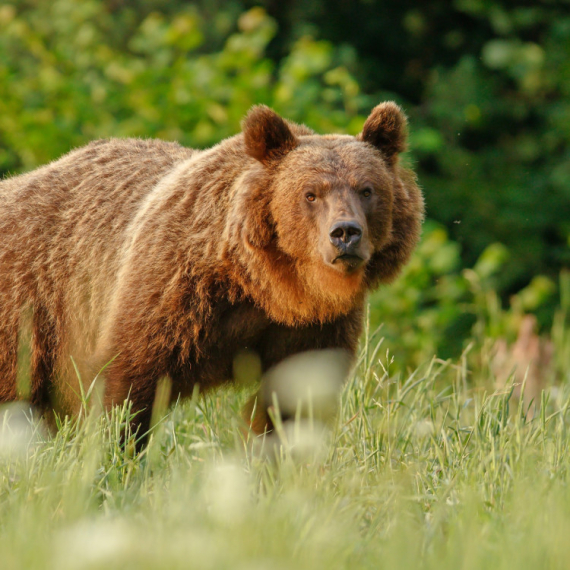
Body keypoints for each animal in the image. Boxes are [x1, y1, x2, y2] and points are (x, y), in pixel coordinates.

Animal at [0, 102, 422, 440]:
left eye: (366, 190)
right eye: (311, 194)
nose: (345, 233)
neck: (264, 286)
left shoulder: (314, 328)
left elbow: (293, 401)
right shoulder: (172, 293)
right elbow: (126, 386)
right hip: (31, 311)